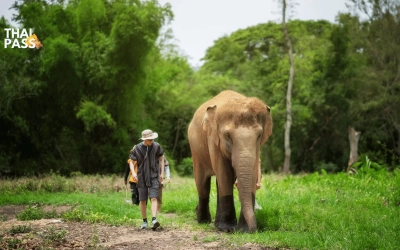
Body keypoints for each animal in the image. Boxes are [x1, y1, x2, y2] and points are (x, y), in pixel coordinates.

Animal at [188, 90, 272, 232]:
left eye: (259, 136)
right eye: (228, 136)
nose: (254, 229)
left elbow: (252, 172)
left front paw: (243, 230)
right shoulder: (214, 140)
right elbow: (224, 174)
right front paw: (228, 229)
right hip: (196, 151)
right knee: (202, 183)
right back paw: (203, 221)